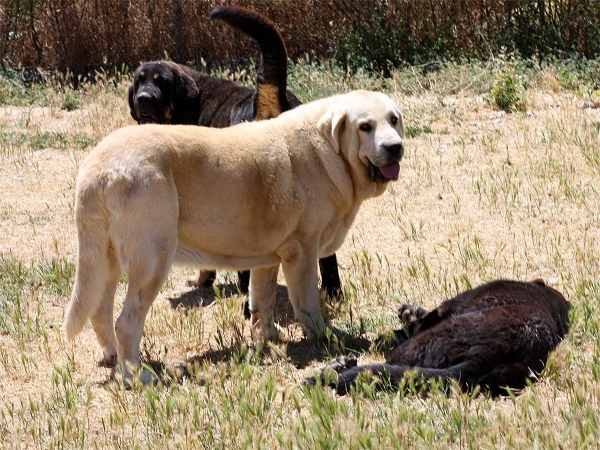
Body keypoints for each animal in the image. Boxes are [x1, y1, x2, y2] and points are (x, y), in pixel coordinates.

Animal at [63, 89, 406, 382]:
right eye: (365, 127)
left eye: (393, 120)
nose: (395, 147)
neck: (330, 154)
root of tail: (96, 168)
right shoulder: (302, 252)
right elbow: (307, 304)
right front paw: (324, 337)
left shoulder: (269, 259)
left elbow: (262, 301)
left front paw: (267, 338)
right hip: (152, 261)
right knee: (126, 323)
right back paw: (136, 375)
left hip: (105, 261)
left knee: (100, 312)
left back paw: (113, 357)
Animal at [127, 5, 342, 300]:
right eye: (139, 82)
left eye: (162, 83)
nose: (144, 99)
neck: (190, 102)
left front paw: (205, 279)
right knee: (327, 254)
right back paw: (332, 293)